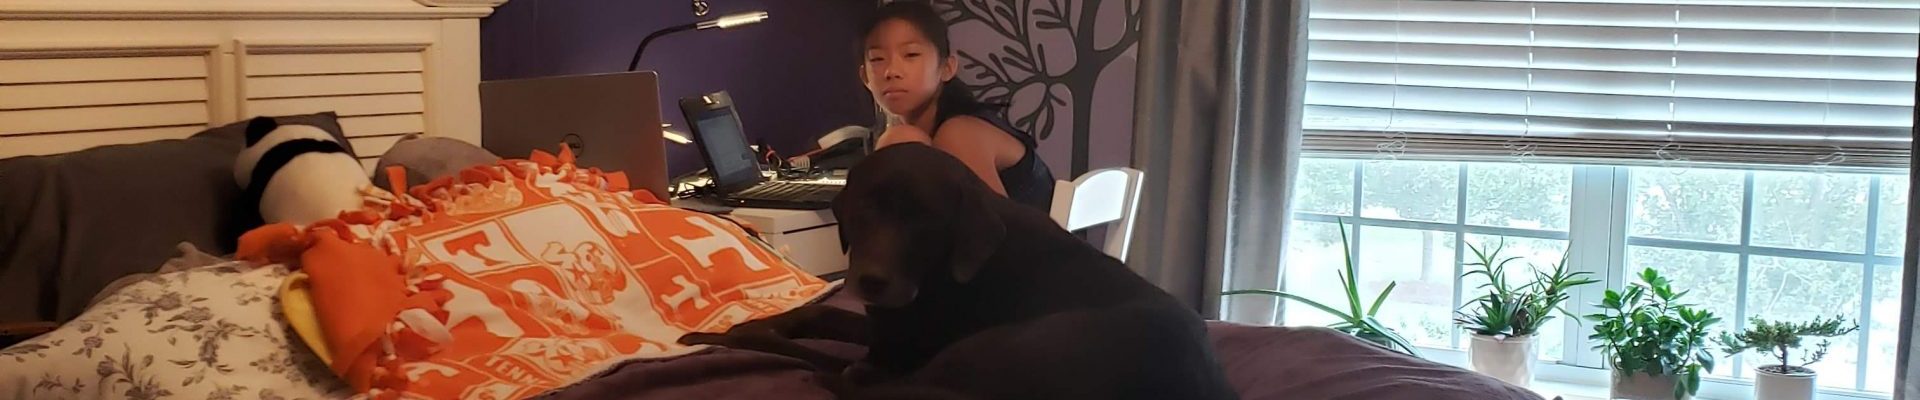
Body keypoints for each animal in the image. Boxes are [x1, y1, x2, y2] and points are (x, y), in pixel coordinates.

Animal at [683, 143, 1237, 400]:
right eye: (862, 211)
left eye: (926, 220)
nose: (872, 281)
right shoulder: (887, 324)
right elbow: (819, 316)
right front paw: (757, 322)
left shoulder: (898, 348)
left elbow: (829, 351)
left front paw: (733, 334)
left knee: (847, 376)